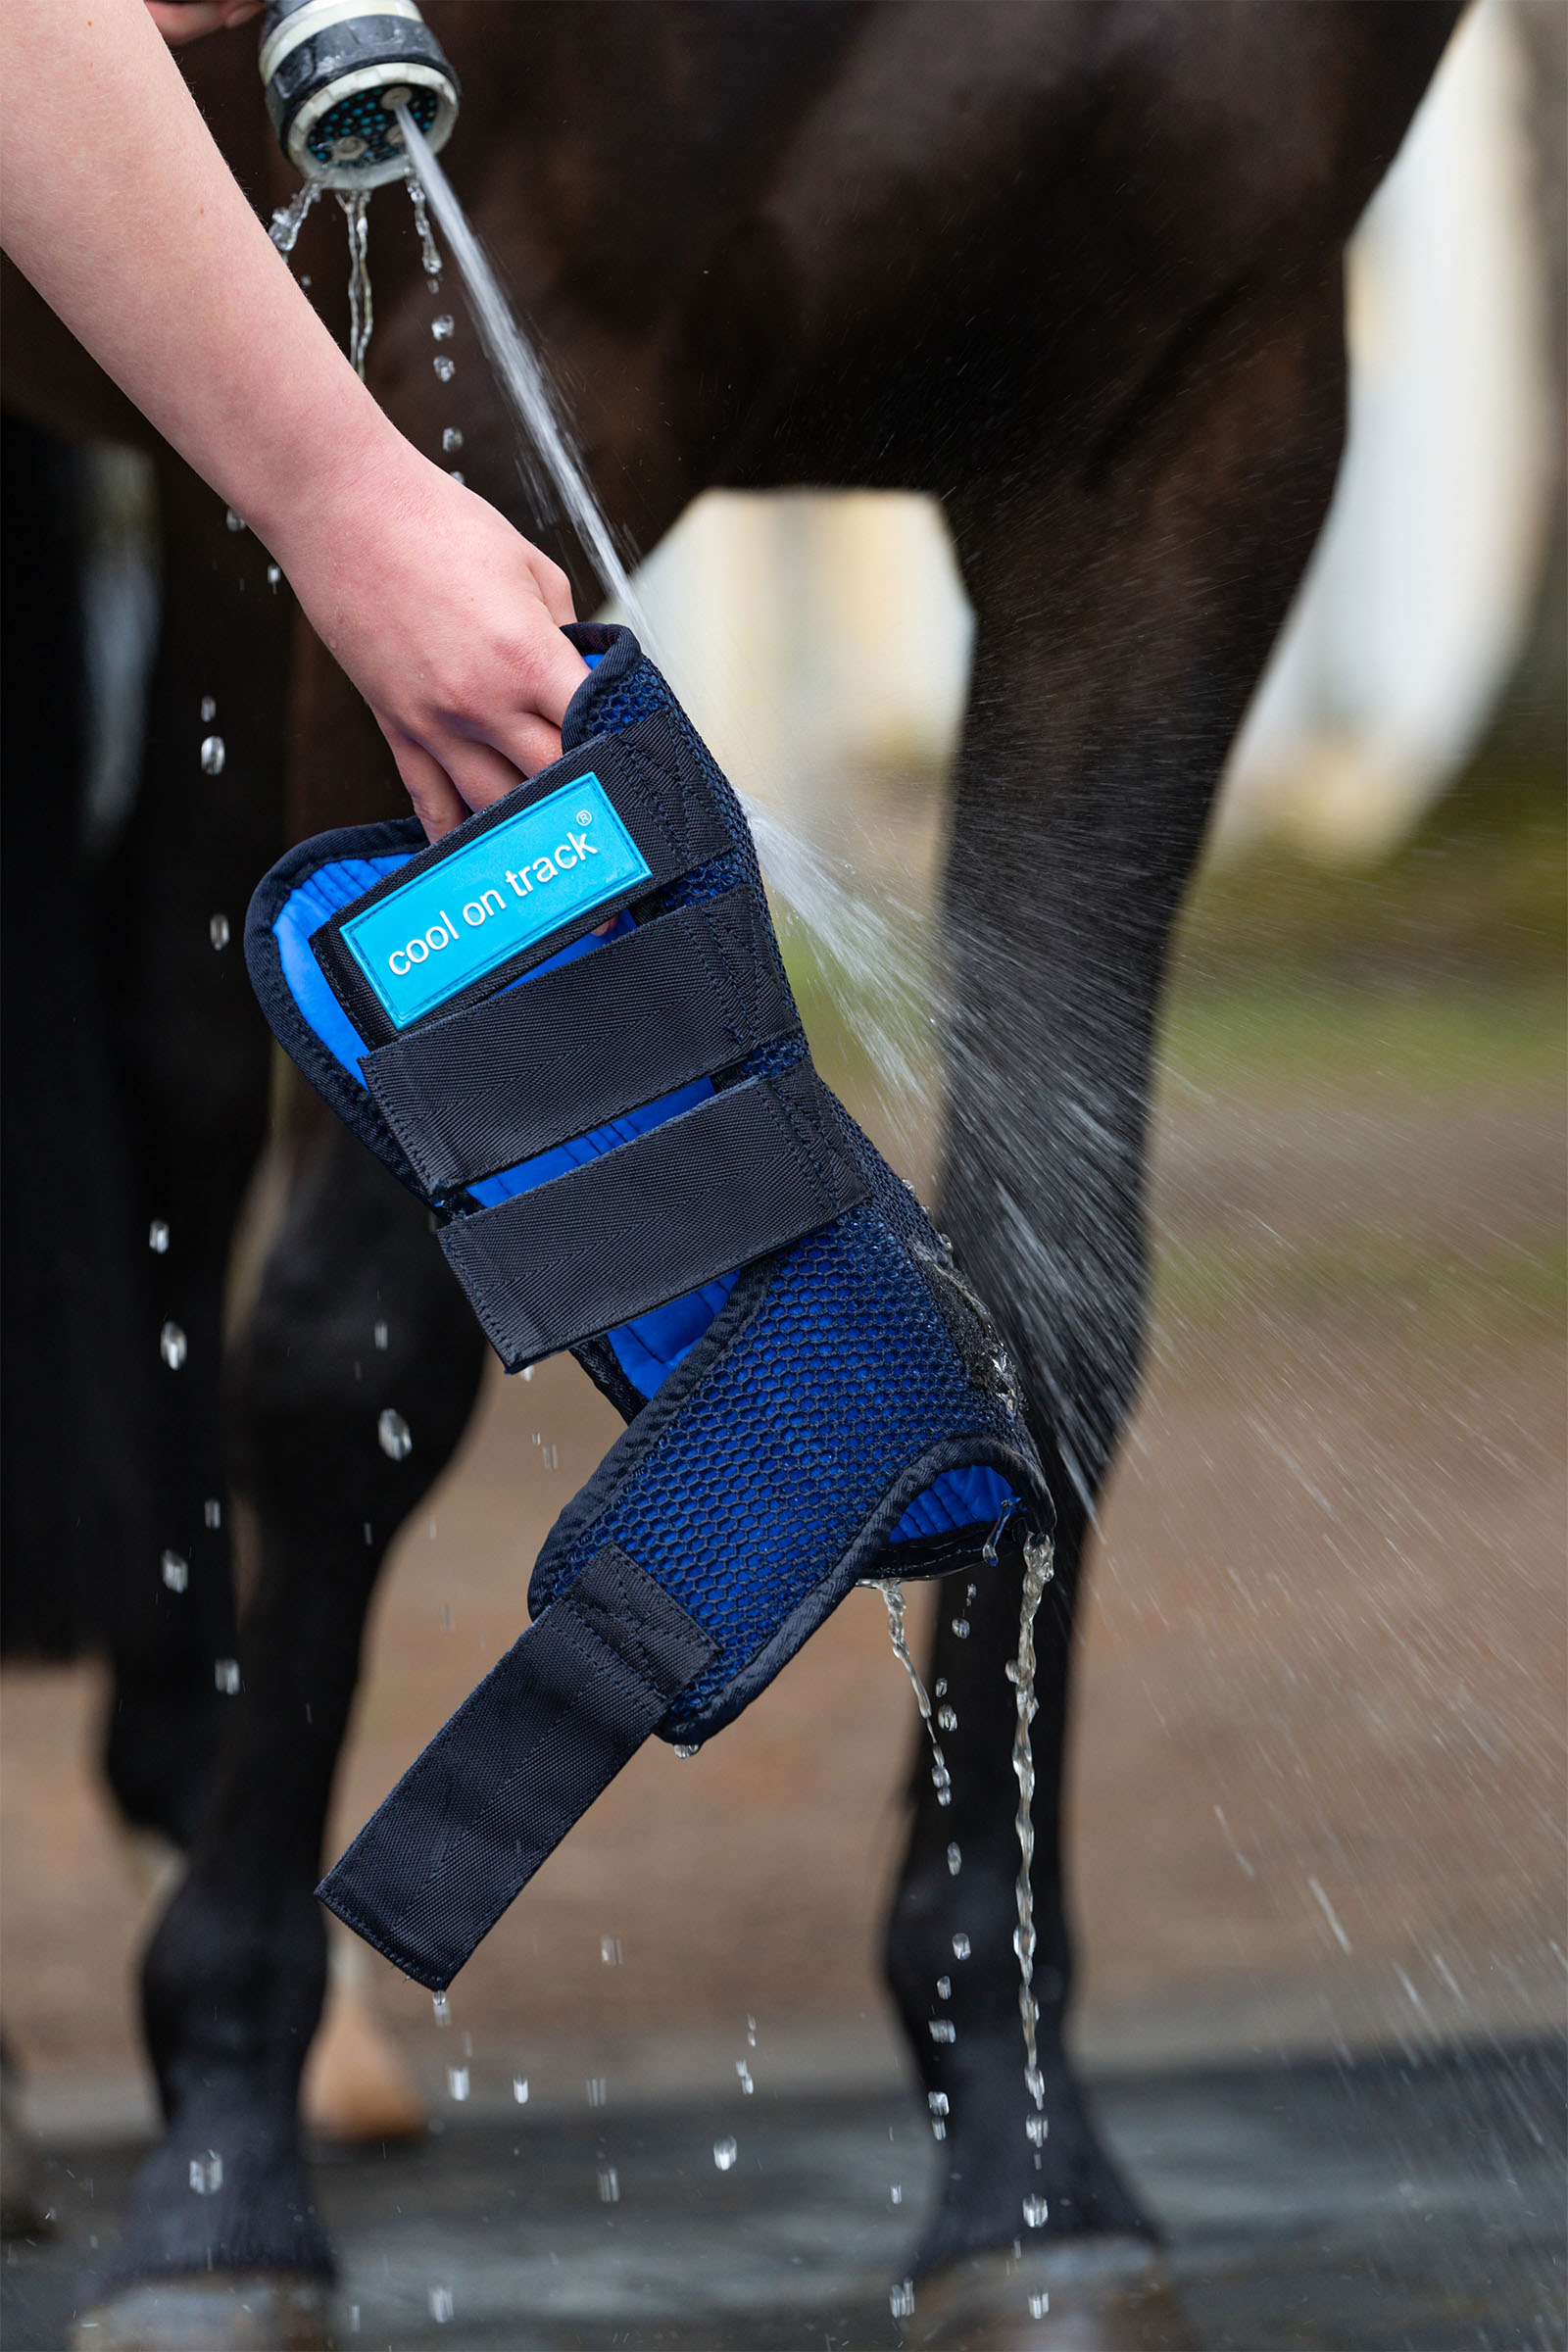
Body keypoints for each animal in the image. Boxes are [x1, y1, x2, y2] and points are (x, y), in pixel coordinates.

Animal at [0, 3, 1461, 2341]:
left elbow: (1049, 1285)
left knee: (169, 1024)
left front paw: (1023, 2150)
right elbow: (348, 1352)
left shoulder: (1195, 412)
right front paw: (217, 2161)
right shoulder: (481, 361)